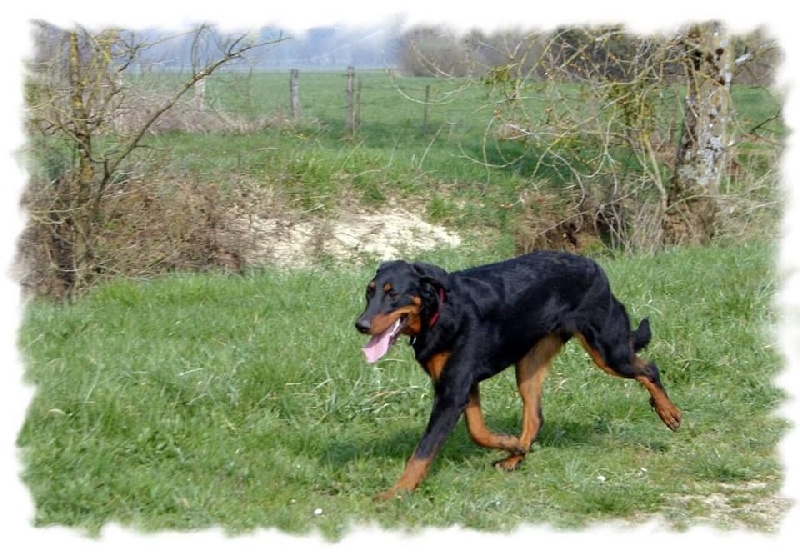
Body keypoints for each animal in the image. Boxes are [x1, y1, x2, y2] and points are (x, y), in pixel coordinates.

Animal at [355, 251, 681, 500]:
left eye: (393, 293)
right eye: (370, 291)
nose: (361, 324)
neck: (441, 311)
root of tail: (594, 265)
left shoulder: (453, 391)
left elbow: (423, 452)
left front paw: (396, 493)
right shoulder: (461, 386)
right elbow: (479, 431)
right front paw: (511, 443)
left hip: (608, 351)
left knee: (648, 368)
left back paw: (669, 412)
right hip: (529, 365)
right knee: (535, 418)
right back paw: (515, 457)